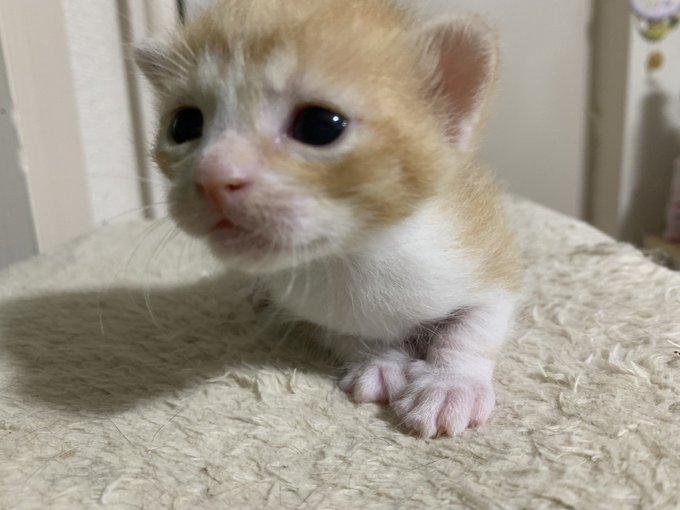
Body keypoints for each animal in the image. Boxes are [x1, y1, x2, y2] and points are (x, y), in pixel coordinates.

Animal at [136, 0, 522, 438]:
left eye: (320, 125)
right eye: (184, 125)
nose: (213, 177)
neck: (356, 256)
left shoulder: (484, 248)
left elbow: (475, 325)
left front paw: (450, 385)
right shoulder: (304, 307)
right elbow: (344, 333)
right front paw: (378, 360)